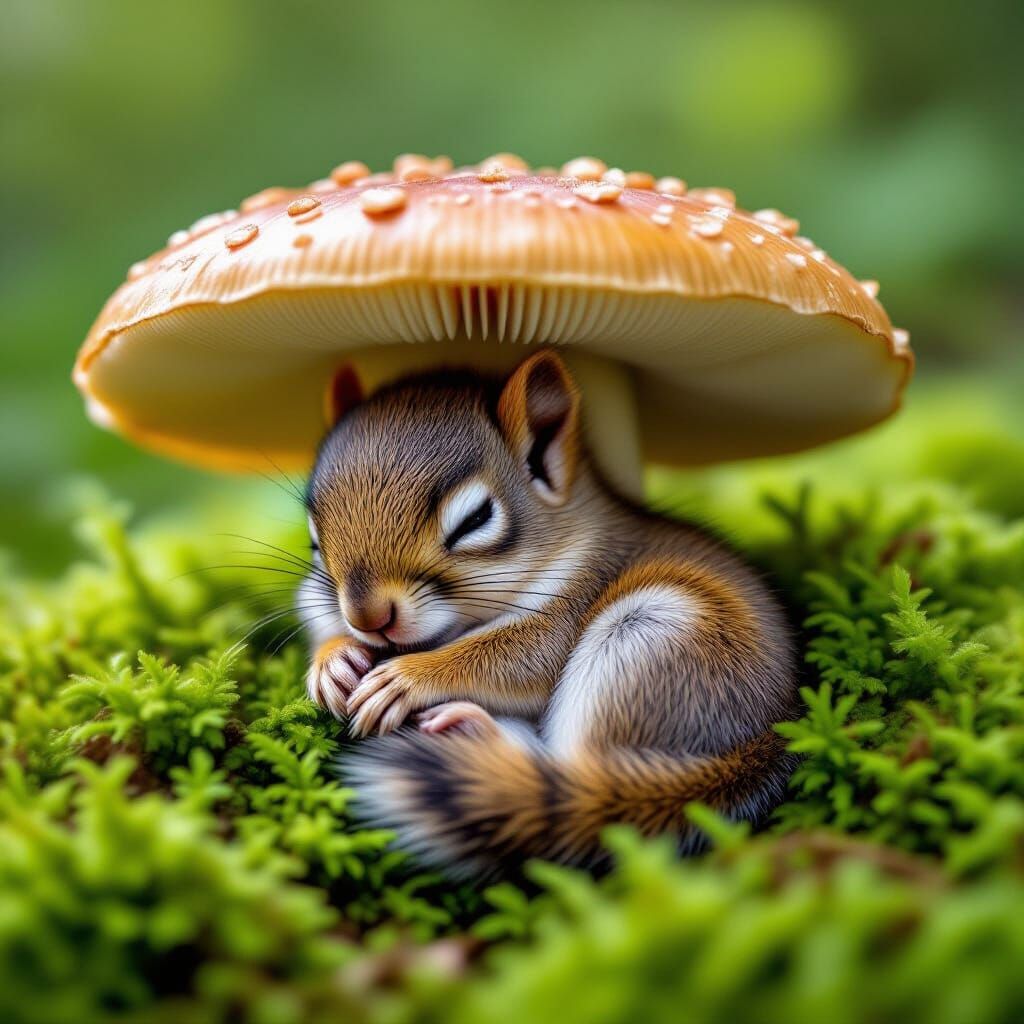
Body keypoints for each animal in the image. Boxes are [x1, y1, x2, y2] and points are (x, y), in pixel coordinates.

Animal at [298, 350, 798, 874]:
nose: (369, 620)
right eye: (313, 538)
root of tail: (752, 748)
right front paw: (333, 661)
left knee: (571, 767)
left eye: (476, 520)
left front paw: (407, 677)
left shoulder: (577, 596)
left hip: (650, 647)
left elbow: (521, 659)